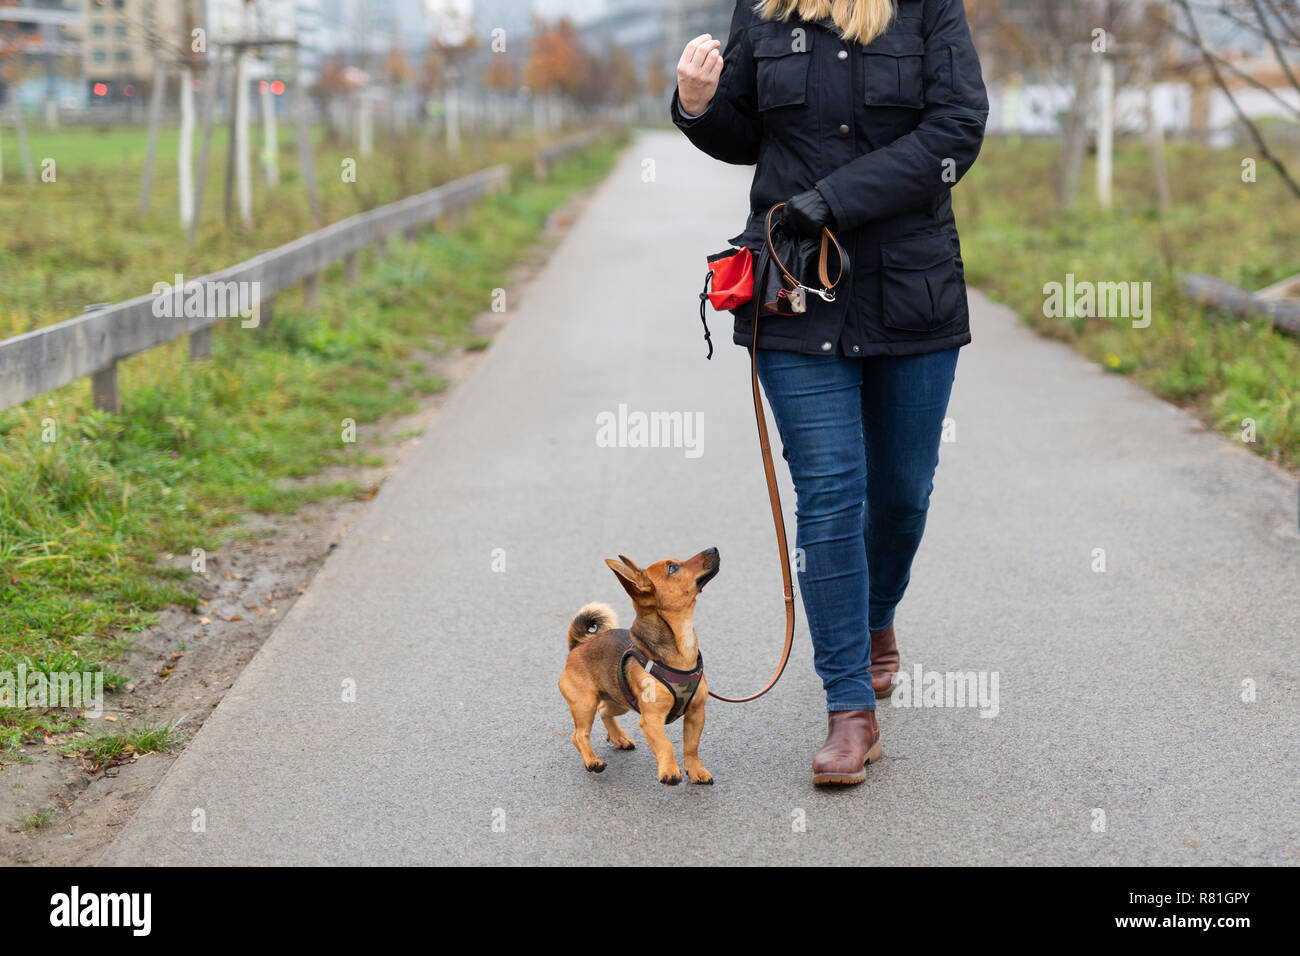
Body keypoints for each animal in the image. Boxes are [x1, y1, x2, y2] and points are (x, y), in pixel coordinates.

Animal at [559, 546, 722, 785]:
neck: (680, 647)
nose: (714, 548)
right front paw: (669, 771)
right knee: (579, 735)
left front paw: (696, 770)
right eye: (672, 568)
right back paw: (592, 761)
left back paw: (619, 737)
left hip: (619, 700)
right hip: (584, 704)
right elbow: (666, 745)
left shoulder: (696, 713)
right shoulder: (651, 720)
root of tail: (579, 644)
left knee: (604, 710)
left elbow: (691, 746)